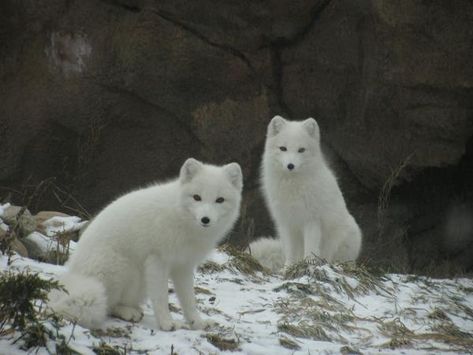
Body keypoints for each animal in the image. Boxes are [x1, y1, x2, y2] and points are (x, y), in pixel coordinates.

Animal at [48, 159, 243, 330]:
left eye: (219, 200)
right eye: (197, 197)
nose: (205, 219)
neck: (181, 219)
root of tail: (73, 274)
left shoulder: (184, 266)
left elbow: (189, 300)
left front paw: (197, 323)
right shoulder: (157, 260)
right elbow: (161, 298)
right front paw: (167, 324)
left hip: (140, 281)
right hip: (123, 268)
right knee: (108, 306)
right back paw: (127, 312)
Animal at [254, 115, 362, 272]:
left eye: (301, 150)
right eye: (283, 148)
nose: (290, 166)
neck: (292, 186)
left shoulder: (312, 220)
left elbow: (311, 246)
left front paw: (309, 264)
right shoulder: (287, 222)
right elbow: (291, 251)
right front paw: (288, 268)